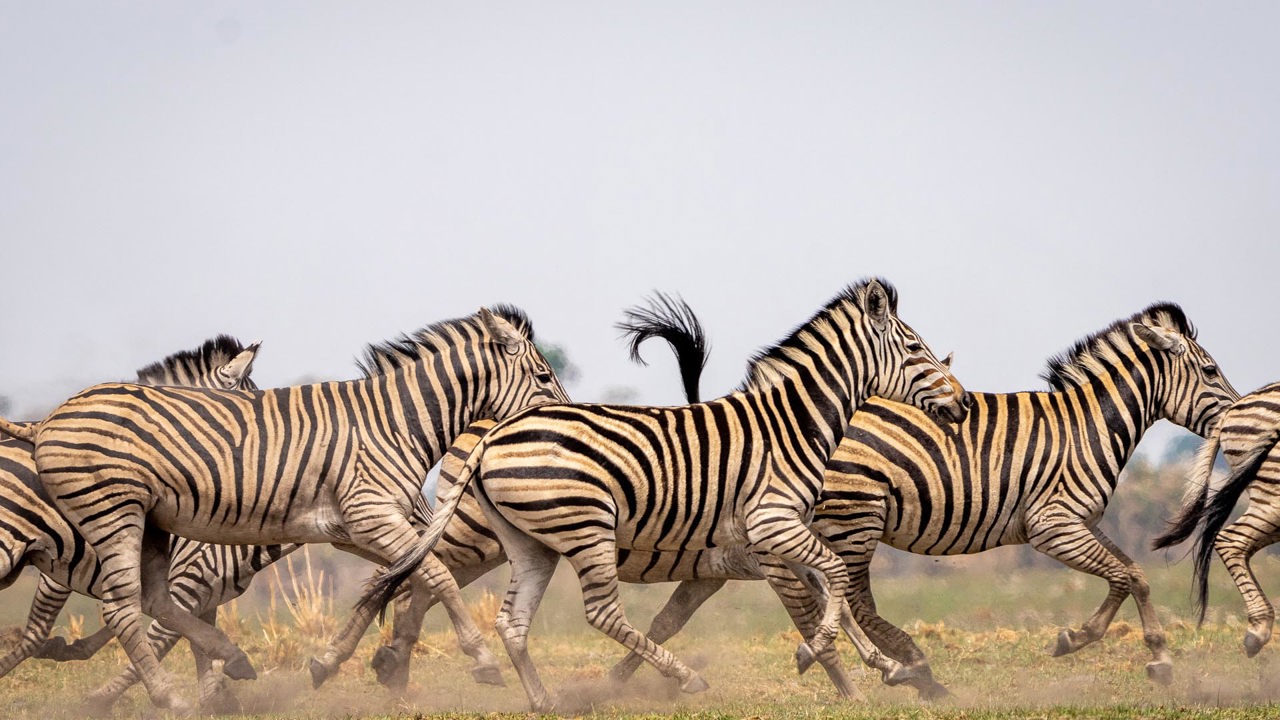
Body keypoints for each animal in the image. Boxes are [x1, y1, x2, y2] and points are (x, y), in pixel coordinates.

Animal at [359, 278, 971, 712]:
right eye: (915, 348)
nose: (963, 404)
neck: (788, 424)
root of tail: (490, 434)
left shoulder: (769, 541)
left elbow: (823, 592)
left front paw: (883, 667)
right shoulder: (772, 525)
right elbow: (829, 585)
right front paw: (836, 668)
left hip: (529, 542)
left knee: (492, 612)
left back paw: (532, 698)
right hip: (574, 527)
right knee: (583, 609)